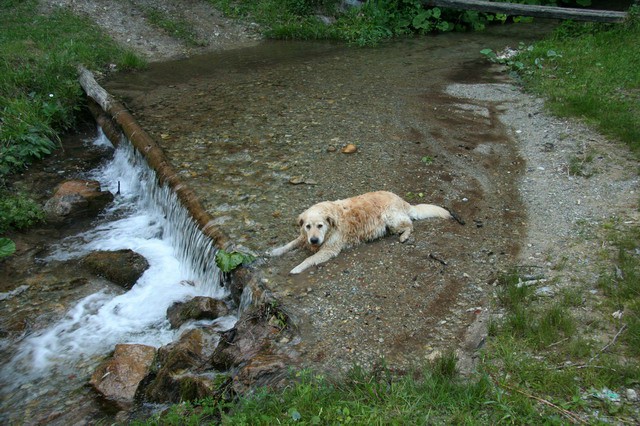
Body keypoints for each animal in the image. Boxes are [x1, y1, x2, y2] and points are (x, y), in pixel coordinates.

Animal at [268, 191, 452, 274]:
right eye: (308, 226)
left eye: (320, 225)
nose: (314, 240)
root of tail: (401, 200)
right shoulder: (304, 237)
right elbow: (290, 243)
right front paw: (274, 252)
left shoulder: (329, 249)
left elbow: (309, 259)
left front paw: (297, 268)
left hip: (391, 218)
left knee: (409, 225)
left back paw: (404, 236)